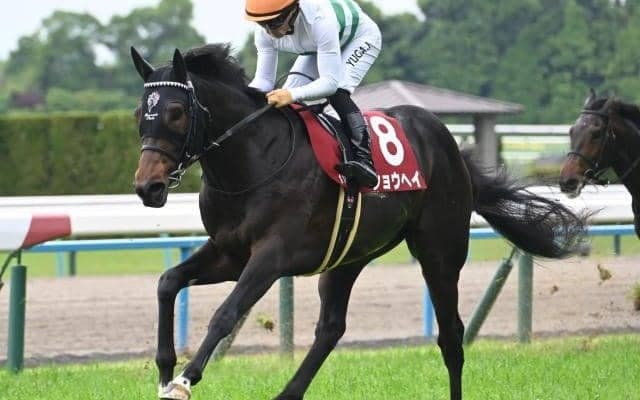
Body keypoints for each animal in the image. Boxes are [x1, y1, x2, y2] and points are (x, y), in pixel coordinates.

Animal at [131, 44, 586, 400]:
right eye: (139, 113)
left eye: (175, 112)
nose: (148, 187)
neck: (253, 160)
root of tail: (450, 144)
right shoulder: (229, 252)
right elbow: (167, 282)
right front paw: (165, 371)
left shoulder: (272, 256)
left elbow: (226, 313)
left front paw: (185, 380)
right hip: (348, 256)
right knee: (331, 327)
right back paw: (287, 393)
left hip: (440, 251)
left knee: (452, 335)